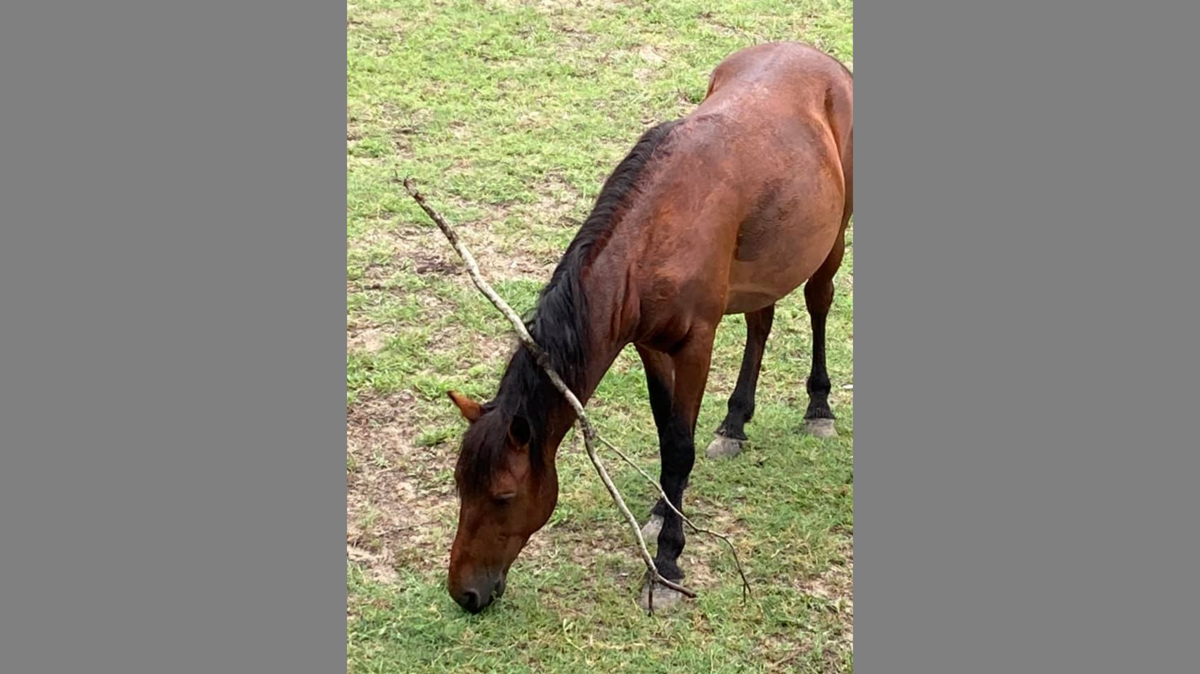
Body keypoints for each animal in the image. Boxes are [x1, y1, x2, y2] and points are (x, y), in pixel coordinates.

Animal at [443, 41, 852, 613]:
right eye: (461, 486)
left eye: (503, 495)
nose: (465, 593)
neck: (653, 238)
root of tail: (817, 57)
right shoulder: (650, 347)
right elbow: (667, 436)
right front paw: (664, 508)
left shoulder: (696, 345)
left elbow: (680, 445)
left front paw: (667, 559)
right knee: (761, 320)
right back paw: (735, 422)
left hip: (832, 238)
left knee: (818, 303)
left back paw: (819, 407)